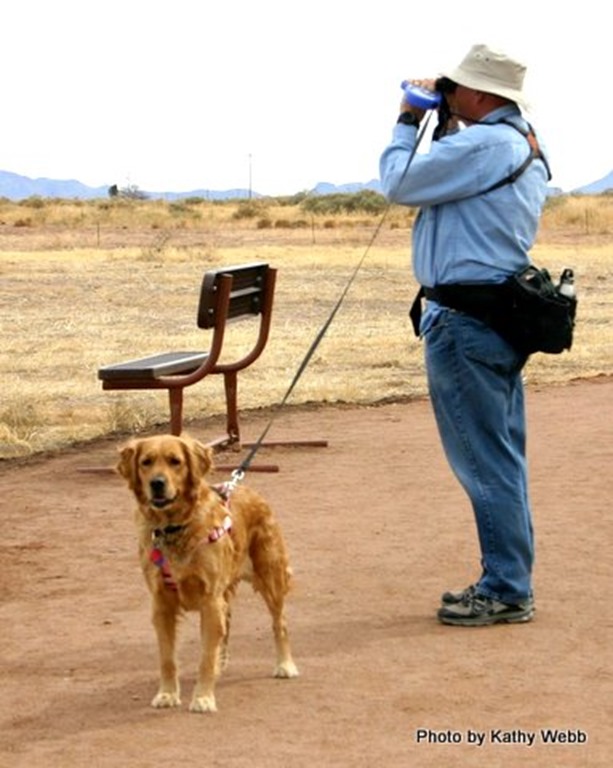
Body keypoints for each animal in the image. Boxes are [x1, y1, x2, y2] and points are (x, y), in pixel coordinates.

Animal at [116, 436, 298, 712]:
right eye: (146, 462)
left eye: (175, 461)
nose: (157, 484)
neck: (174, 528)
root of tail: (247, 489)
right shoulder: (161, 603)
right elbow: (167, 658)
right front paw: (167, 693)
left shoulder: (210, 600)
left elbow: (205, 657)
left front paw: (203, 697)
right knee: (228, 626)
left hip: (270, 577)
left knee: (280, 623)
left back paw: (285, 664)